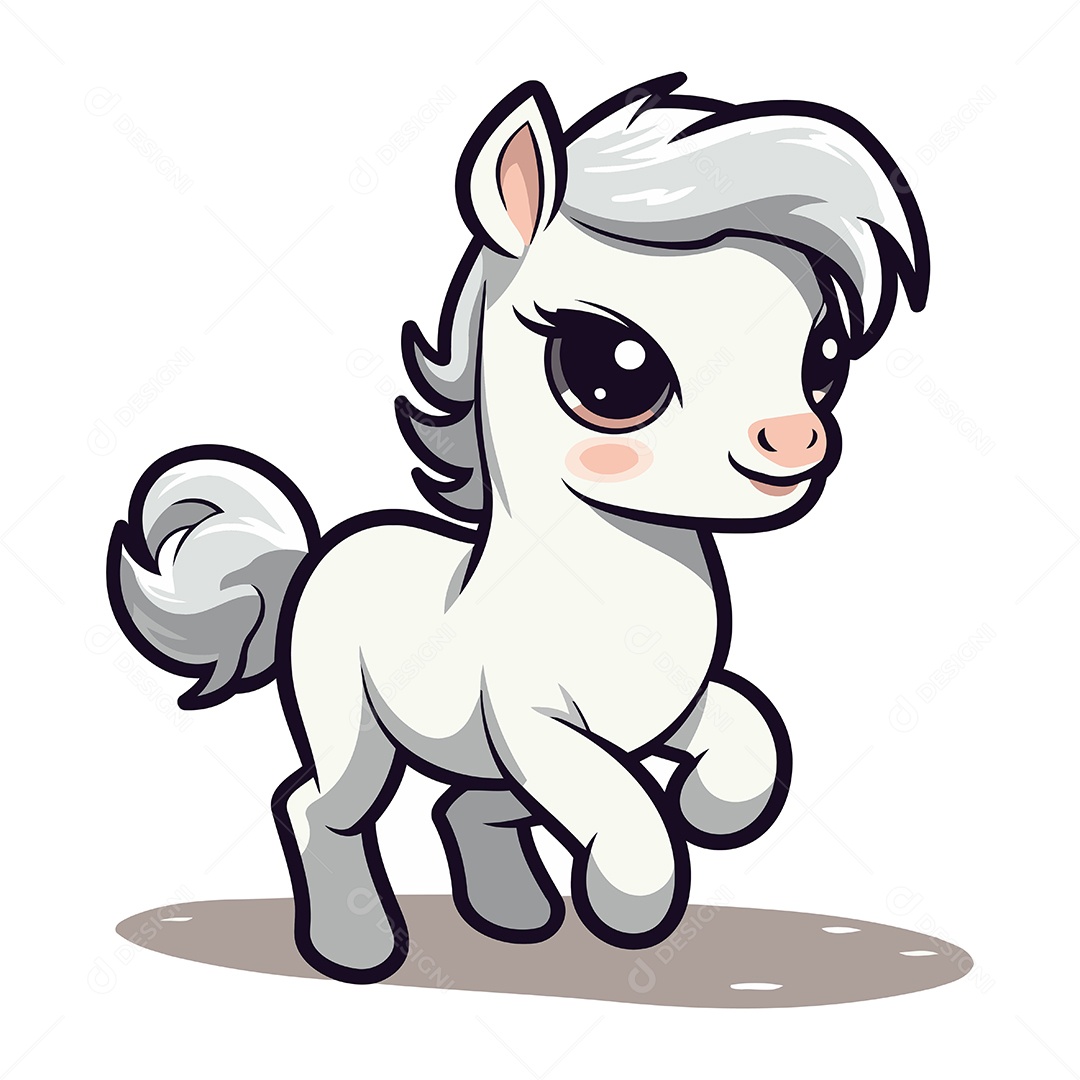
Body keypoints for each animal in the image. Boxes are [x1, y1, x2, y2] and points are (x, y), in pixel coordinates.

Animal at [108, 72, 929, 983]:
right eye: (613, 368)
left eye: (824, 359)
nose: (794, 438)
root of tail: (318, 556)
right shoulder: (538, 729)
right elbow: (627, 813)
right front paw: (630, 899)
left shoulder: (661, 713)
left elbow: (751, 737)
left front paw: (707, 809)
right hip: (353, 730)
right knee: (320, 804)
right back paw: (357, 945)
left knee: (466, 805)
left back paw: (514, 915)